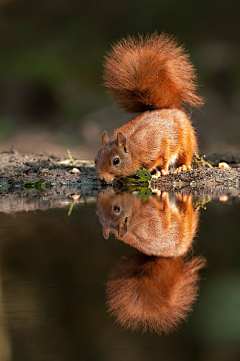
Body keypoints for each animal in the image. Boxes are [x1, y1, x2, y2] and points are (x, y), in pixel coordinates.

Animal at [94, 32, 203, 181]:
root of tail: (171, 108)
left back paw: (182, 167)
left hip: (186, 141)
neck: (135, 151)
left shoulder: (158, 143)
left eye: (116, 161)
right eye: (95, 160)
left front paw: (161, 171)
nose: (101, 179)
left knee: (185, 156)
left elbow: (164, 158)